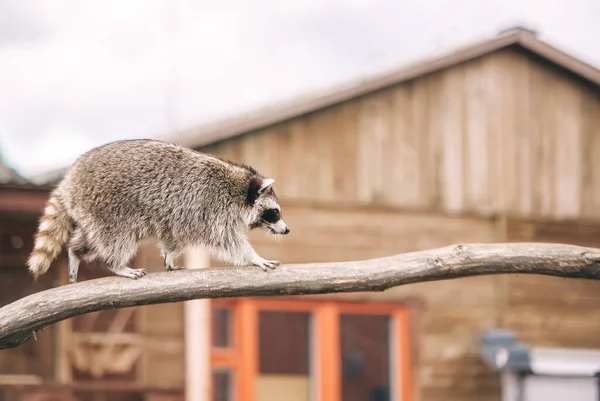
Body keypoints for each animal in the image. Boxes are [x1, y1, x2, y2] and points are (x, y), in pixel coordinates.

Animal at [27, 139, 290, 282]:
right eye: (275, 212)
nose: (287, 230)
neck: (241, 189)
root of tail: (69, 181)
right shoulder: (213, 208)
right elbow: (229, 241)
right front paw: (254, 257)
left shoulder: (186, 217)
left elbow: (174, 238)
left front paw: (170, 256)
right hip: (108, 207)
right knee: (116, 239)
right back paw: (117, 264)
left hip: (92, 212)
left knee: (90, 239)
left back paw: (75, 252)